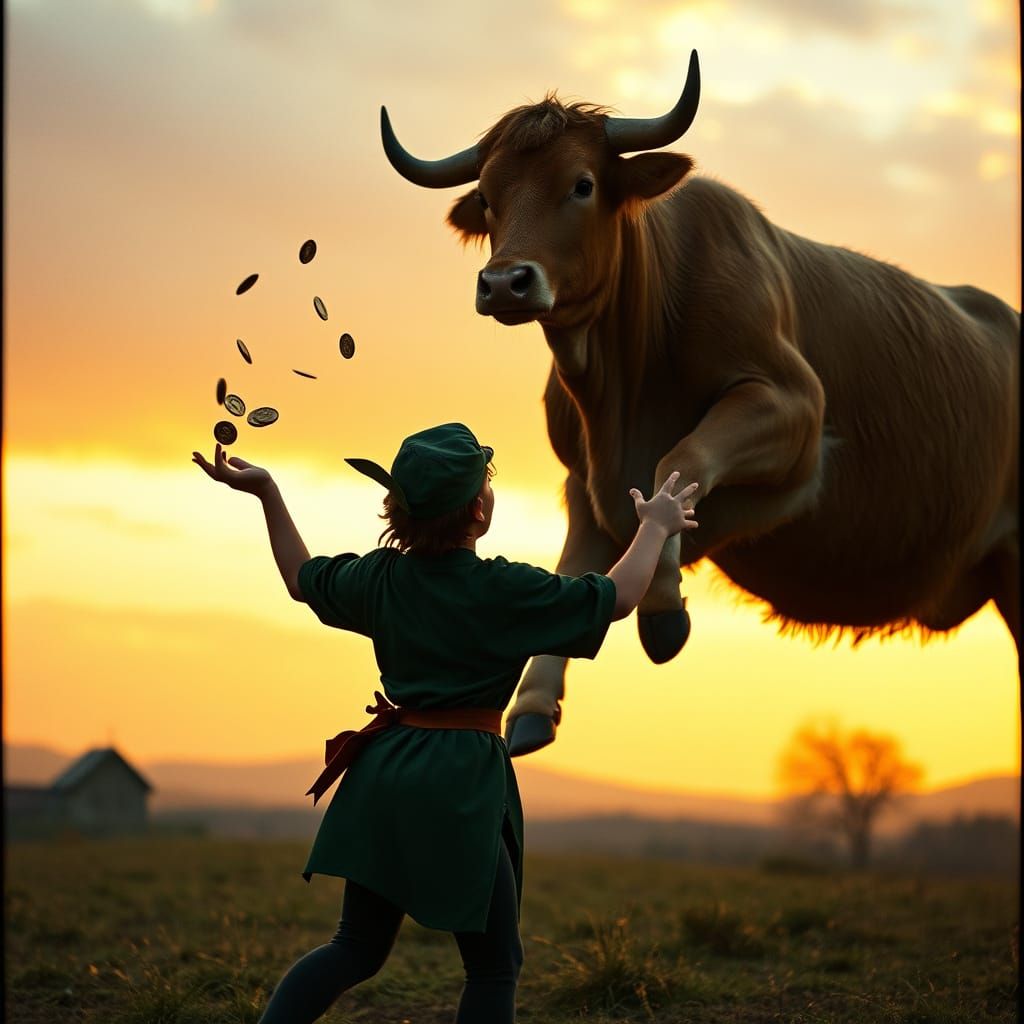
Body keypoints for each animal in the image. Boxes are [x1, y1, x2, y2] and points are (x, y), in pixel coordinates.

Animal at [380, 50, 1020, 756]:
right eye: (489, 200)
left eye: (582, 184)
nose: (503, 283)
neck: (622, 392)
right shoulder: (583, 479)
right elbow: (575, 565)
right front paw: (533, 704)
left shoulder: (795, 410)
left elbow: (680, 460)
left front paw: (664, 608)